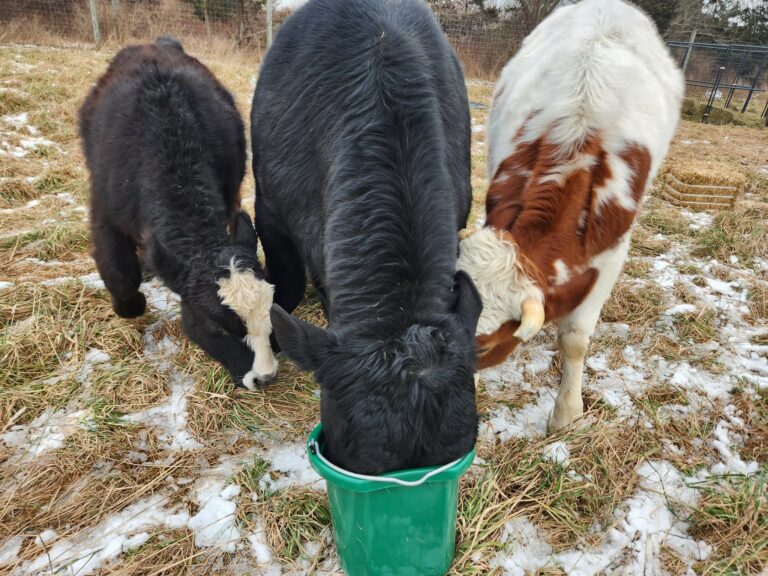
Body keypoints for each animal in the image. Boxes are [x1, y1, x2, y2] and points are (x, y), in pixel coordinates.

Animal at [80, 37, 277, 389]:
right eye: (218, 327)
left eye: (271, 310)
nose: (265, 377)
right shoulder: (104, 213)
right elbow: (120, 273)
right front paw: (131, 306)